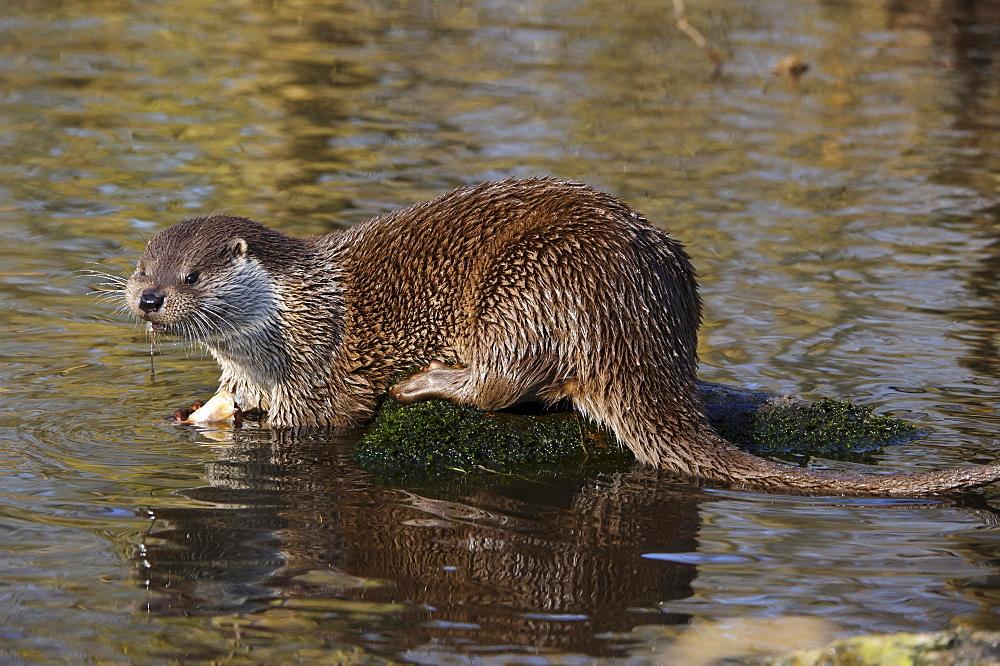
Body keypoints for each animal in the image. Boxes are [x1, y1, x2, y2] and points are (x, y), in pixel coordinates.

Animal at [125, 176, 1000, 492]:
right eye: (142, 263)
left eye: (192, 275)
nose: (149, 298)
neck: (292, 314)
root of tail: (643, 323)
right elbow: (218, 406)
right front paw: (196, 414)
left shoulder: (319, 373)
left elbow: (320, 422)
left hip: (527, 284)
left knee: (510, 383)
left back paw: (428, 380)